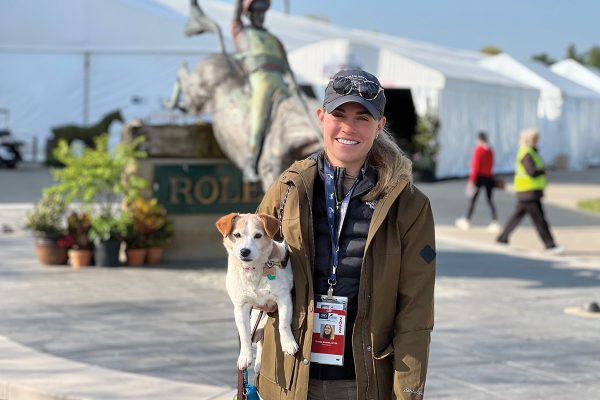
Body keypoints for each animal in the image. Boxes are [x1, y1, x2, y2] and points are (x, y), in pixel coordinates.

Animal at [217, 212, 298, 372]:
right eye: (237, 235)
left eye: (258, 235)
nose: (244, 251)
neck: (253, 270)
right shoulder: (241, 307)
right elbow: (244, 335)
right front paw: (245, 356)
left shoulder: (284, 298)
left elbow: (283, 324)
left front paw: (288, 342)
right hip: (256, 318)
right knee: (259, 339)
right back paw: (259, 363)